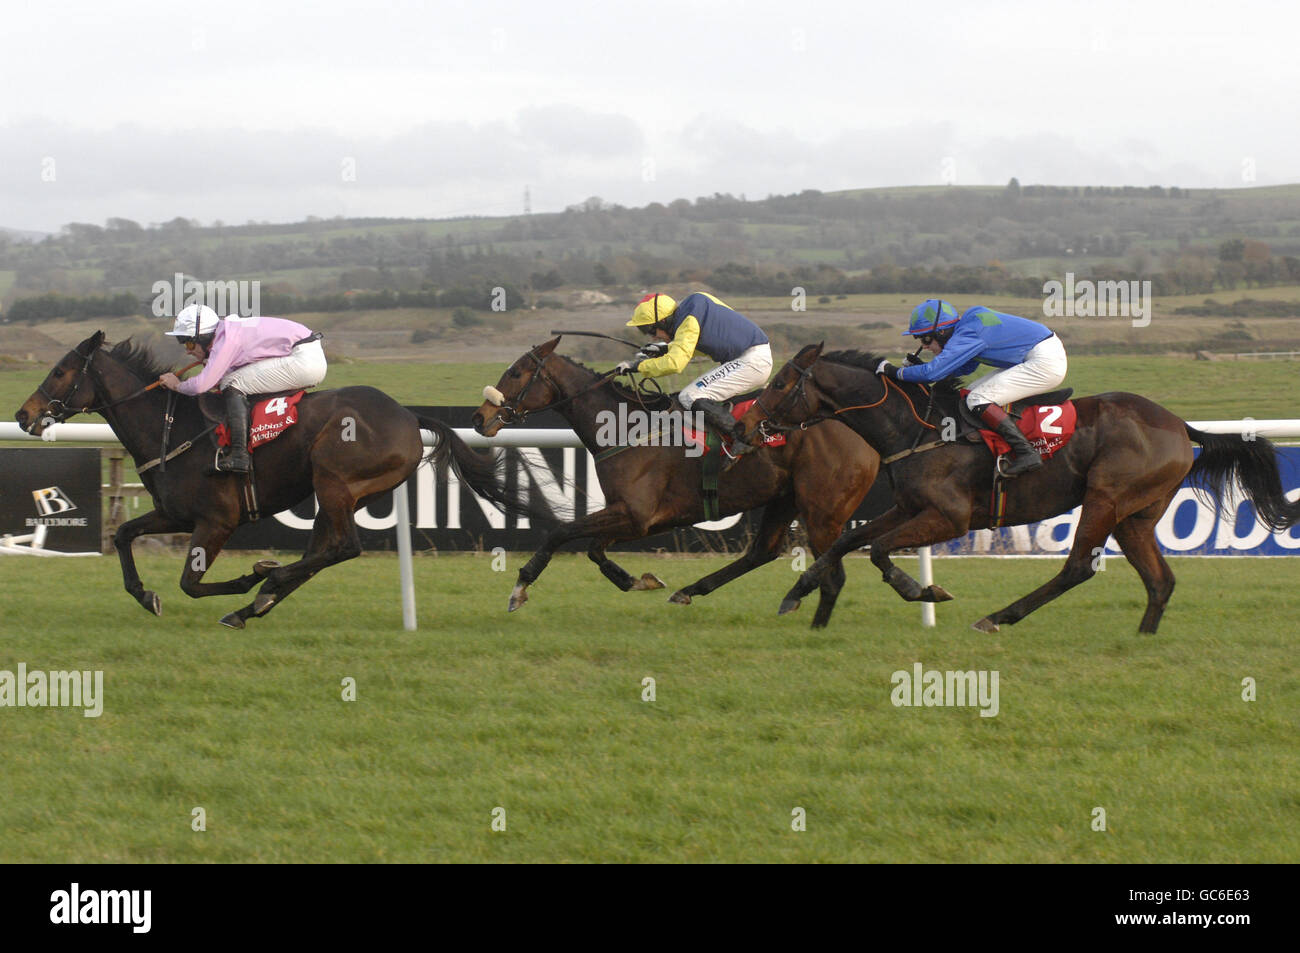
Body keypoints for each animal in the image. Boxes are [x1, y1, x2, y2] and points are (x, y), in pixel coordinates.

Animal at [15, 330, 553, 629]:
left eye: (60, 371)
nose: (23, 415)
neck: (174, 427)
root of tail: (407, 415)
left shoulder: (217, 521)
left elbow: (191, 583)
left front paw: (247, 576)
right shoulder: (174, 514)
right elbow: (124, 534)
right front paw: (146, 595)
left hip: (333, 479)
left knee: (343, 548)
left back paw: (264, 584)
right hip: (343, 494)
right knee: (322, 551)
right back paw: (257, 603)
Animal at [470, 335, 883, 624]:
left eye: (516, 372)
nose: (479, 417)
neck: (623, 428)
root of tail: (856, 427)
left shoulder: (637, 514)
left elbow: (560, 532)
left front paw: (519, 589)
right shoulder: (641, 519)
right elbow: (595, 549)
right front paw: (640, 581)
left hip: (822, 510)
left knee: (830, 574)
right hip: (786, 497)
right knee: (763, 551)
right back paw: (692, 590)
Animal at [738, 343, 1294, 631]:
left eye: (782, 383)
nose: (746, 426)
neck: (917, 427)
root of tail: (1179, 425)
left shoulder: (950, 517)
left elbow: (876, 550)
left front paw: (923, 589)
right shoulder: (909, 507)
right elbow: (849, 540)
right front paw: (797, 593)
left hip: (1105, 499)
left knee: (1077, 568)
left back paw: (1000, 616)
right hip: (1136, 515)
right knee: (1160, 581)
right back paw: (1143, 636)